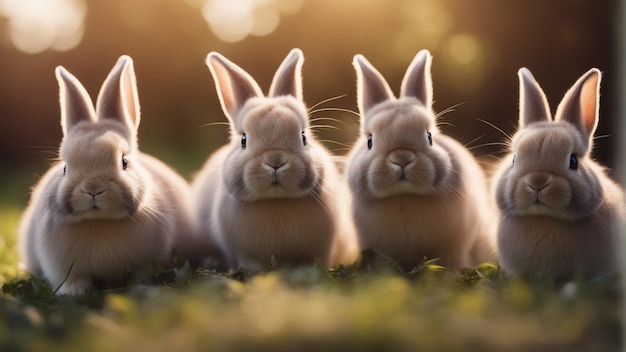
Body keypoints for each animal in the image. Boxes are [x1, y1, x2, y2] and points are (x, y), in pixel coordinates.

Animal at [17, 56, 206, 296]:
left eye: (124, 161)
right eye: (65, 168)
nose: (93, 188)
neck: (100, 222)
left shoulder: (146, 261)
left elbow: (142, 274)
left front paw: (140, 287)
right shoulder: (59, 265)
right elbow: (71, 278)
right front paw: (74, 292)